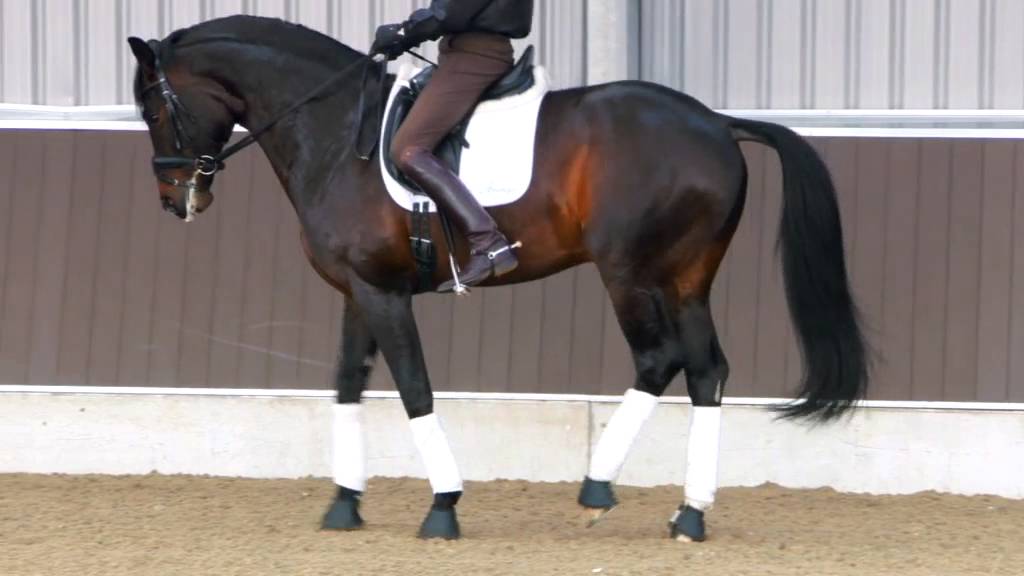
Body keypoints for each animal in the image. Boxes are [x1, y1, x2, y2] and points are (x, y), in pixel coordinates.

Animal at [127, 15, 869, 543]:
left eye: (154, 109)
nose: (175, 200)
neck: (337, 135)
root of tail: (717, 122)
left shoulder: (383, 293)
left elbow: (413, 388)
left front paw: (443, 506)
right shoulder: (360, 289)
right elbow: (346, 383)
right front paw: (344, 504)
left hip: (630, 271)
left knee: (659, 359)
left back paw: (596, 490)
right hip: (687, 276)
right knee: (707, 370)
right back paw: (690, 515)